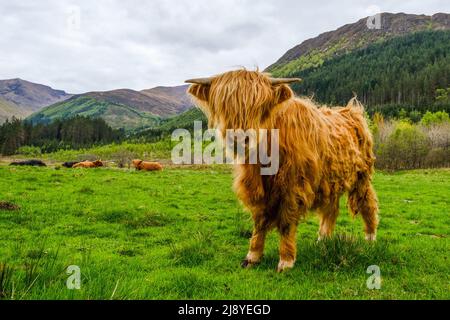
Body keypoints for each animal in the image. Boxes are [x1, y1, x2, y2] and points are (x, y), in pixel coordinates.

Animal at [186, 70, 380, 272]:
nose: (239, 137)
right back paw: (323, 239)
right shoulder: (260, 192)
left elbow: (286, 222)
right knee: (331, 209)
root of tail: (351, 110)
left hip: (362, 176)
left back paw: (370, 238)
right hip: (330, 181)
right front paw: (253, 256)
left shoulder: (293, 187)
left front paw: (286, 260)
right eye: (224, 106)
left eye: (259, 107)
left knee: (368, 202)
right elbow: (259, 222)